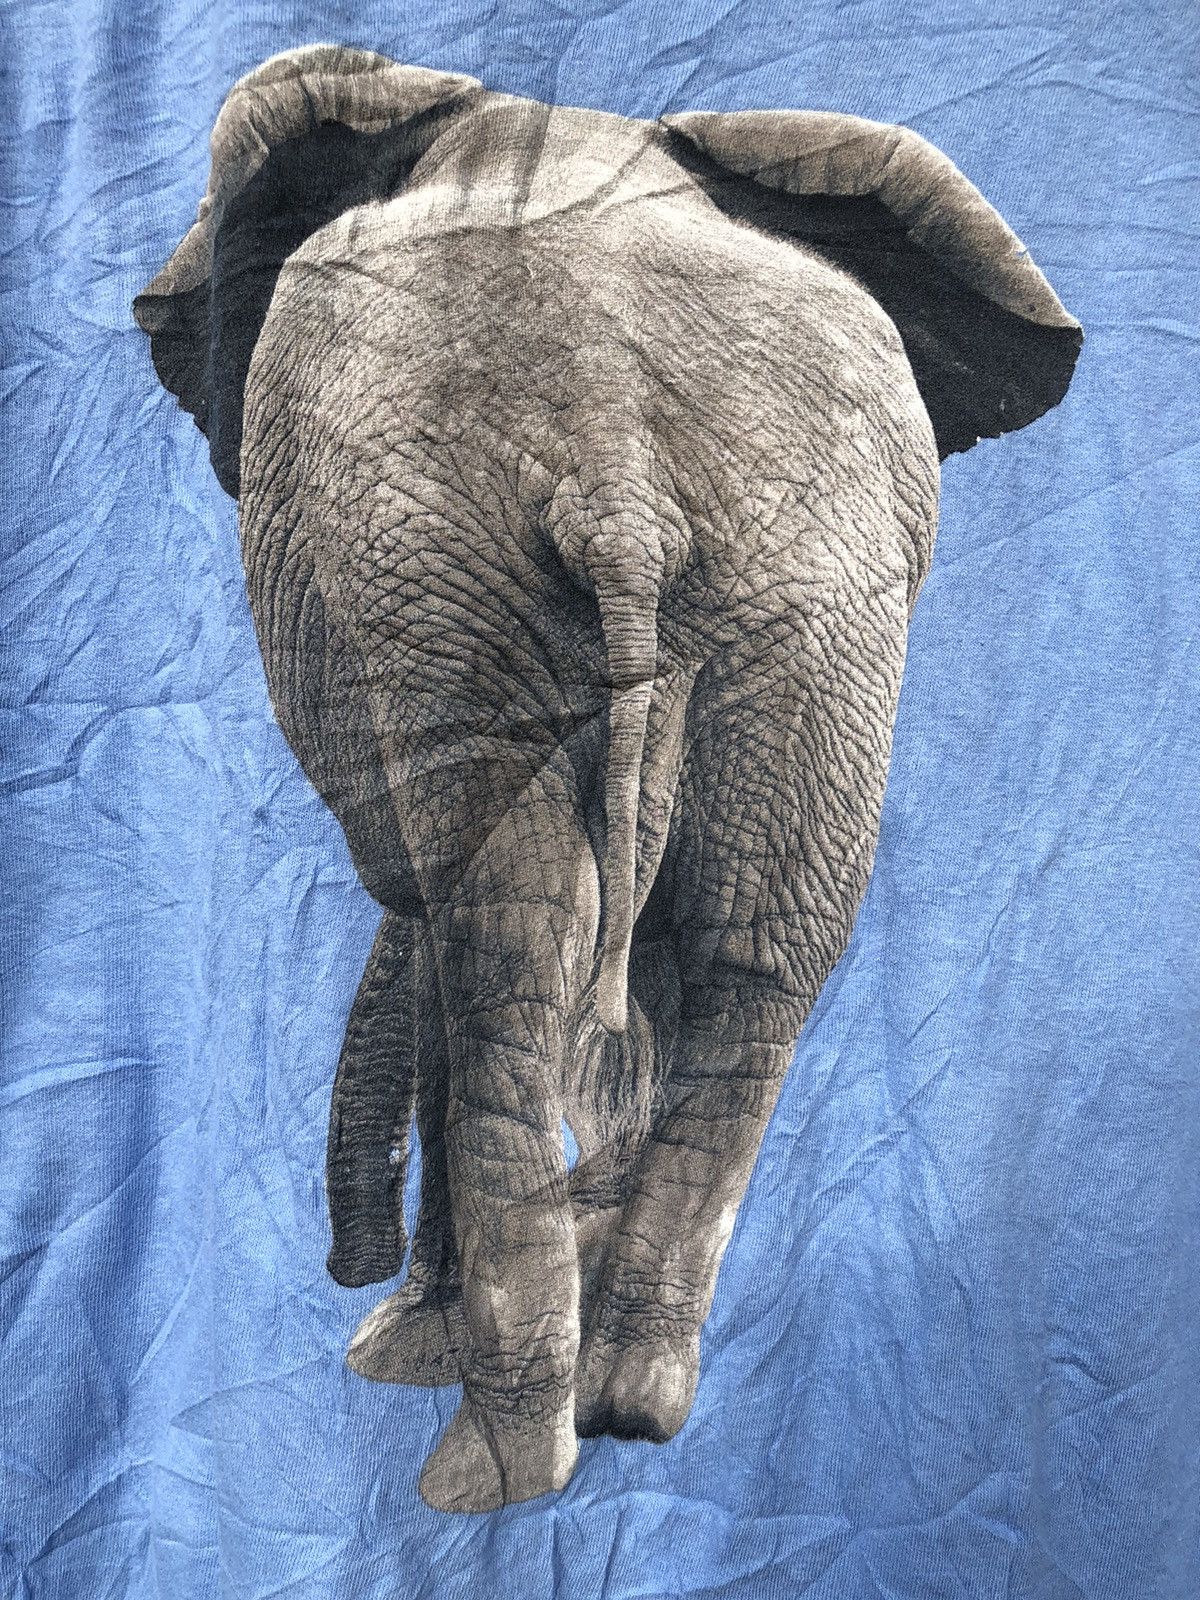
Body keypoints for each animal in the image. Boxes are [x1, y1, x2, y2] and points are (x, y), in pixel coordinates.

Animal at [133, 44, 1081, 1513]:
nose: (346, 1264)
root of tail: (616, 472)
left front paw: (405, 1346)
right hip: (802, 578)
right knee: (753, 950)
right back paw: (628, 1405)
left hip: (449, 573)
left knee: (507, 952)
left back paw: (491, 1465)